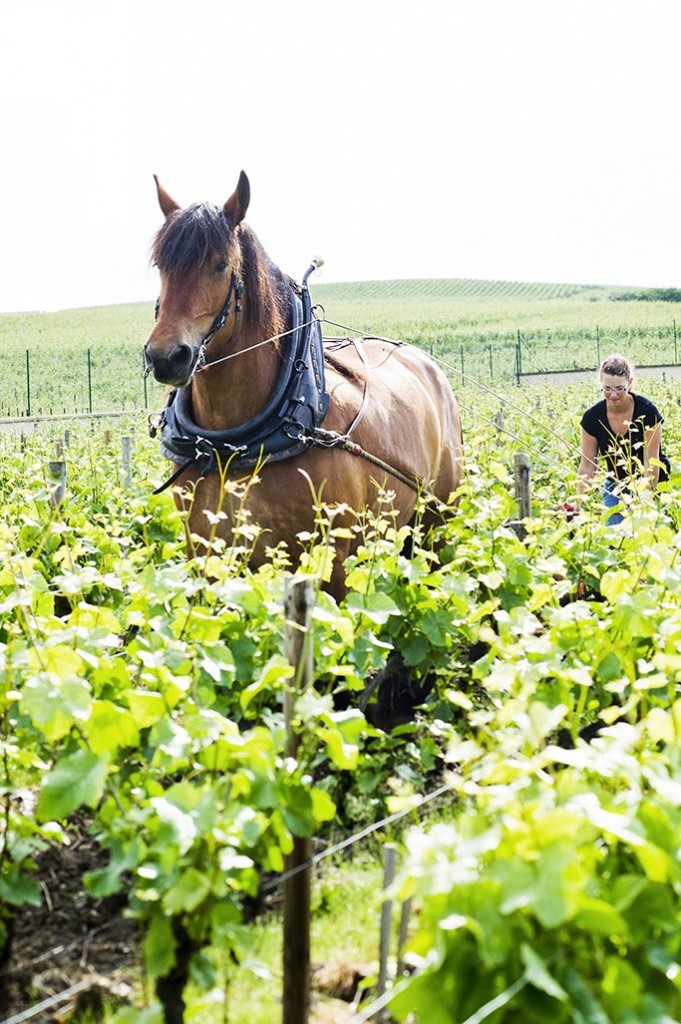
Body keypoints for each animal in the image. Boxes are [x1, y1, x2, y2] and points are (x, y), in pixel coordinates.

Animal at [142, 171, 462, 598]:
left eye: (220, 265)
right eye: (162, 265)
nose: (165, 357)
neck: (235, 447)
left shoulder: (335, 563)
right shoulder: (207, 558)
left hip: (437, 524)